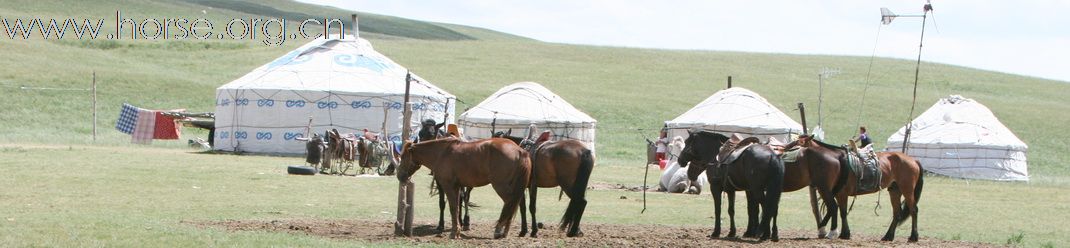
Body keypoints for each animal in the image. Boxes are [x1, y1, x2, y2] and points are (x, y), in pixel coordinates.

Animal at [398, 136, 530, 239]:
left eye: (403, 156)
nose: (400, 176)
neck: (442, 153)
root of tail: (519, 150)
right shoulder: (457, 187)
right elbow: (456, 208)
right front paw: (457, 231)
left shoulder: (448, 186)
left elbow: (452, 208)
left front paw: (453, 233)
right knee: (514, 204)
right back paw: (505, 232)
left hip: (501, 186)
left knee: (509, 204)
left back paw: (499, 231)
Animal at [796, 135, 928, 242]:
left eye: (798, 144)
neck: (837, 161)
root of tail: (913, 160)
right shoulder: (836, 193)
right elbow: (839, 211)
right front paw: (842, 233)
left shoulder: (841, 194)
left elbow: (842, 212)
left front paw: (844, 234)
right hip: (895, 190)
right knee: (897, 213)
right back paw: (888, 236)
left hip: (907, 189)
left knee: (913, 210)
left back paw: (913, 237)